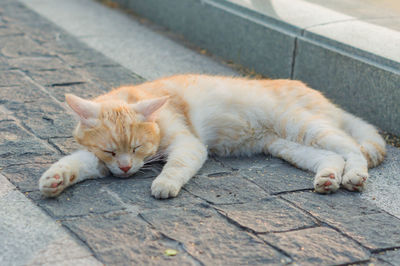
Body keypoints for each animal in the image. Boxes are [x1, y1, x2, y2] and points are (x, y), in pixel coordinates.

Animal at [39, 74, 386, 198]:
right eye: (111, 152)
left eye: (137, 147)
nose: (125, 169)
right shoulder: (97, 161)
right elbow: (76, 163)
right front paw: (55, 178)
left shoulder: (188, 143)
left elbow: (176, 166)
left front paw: (164, 182)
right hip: (290, 145)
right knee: (331, 156)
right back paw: (328, 178)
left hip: (303, 125)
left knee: (352, 148)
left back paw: (353, 175)